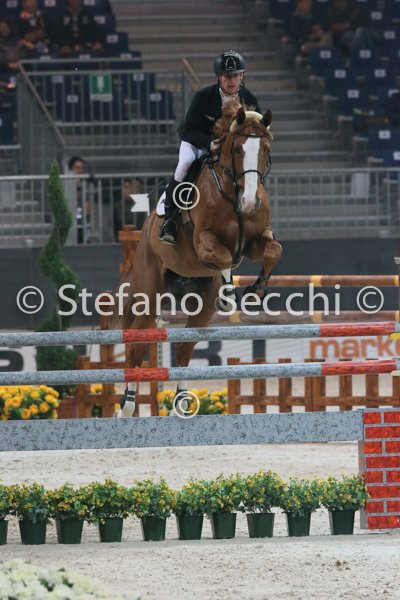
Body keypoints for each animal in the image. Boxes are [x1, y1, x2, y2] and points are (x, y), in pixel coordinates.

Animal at [116, 97, 282, 415]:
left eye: (266, 149)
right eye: (239, 149)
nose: (250, 203)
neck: (233, 193)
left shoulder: (254, 240)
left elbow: (273, 250)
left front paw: (256, 290)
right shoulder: (204, 242)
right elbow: (225, 258)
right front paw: (229, 296)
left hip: (199, 306)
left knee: (183, 349)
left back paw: (179, 403)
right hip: (149, 294)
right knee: (135, 346)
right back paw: (127, 405)